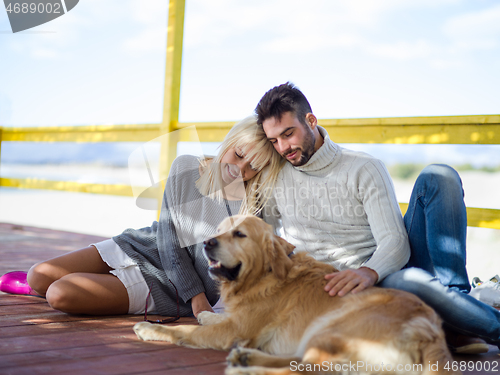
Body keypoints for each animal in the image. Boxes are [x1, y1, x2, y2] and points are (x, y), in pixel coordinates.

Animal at [133, 216, 458, 374]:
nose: (207, 242)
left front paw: (149, 328)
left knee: (306, 371)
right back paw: (247, 358)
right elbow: (214, 318)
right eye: (220, 230)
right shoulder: (237, 321)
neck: (263, 275)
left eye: (240, 234)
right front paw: (204, 313)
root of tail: (429, 330)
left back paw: (247, 370)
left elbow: (182, 331)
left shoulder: (235, 329)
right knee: (300, 363)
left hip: (329, 330)